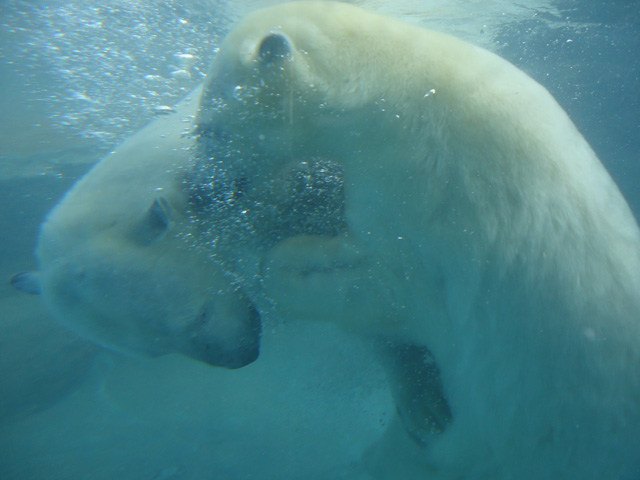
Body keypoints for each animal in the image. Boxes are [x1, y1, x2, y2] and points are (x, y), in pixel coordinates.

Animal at [191, 1, 640, 478]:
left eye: (208, 129)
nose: (198, 195)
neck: (397, 89)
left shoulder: (425, 188)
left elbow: (385, 282)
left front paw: (288, 265)